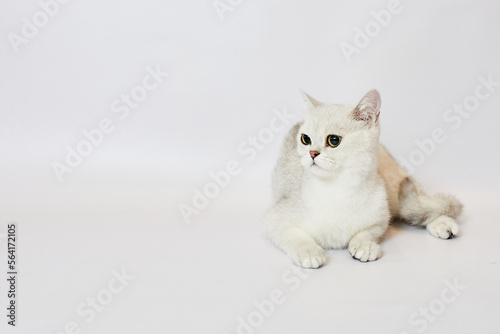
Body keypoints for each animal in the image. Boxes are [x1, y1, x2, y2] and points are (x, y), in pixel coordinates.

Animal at [264, 90, 462, 268]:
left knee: (421, 204)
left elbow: (367, 232)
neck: (338, 188)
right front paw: (309, 251)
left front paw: (364, 245)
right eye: (305, 139)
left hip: (394, 188)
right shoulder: (274, 219)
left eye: (333, 140)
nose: (312, 153)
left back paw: (443, 223)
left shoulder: (380, 219)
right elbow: (294, 236)